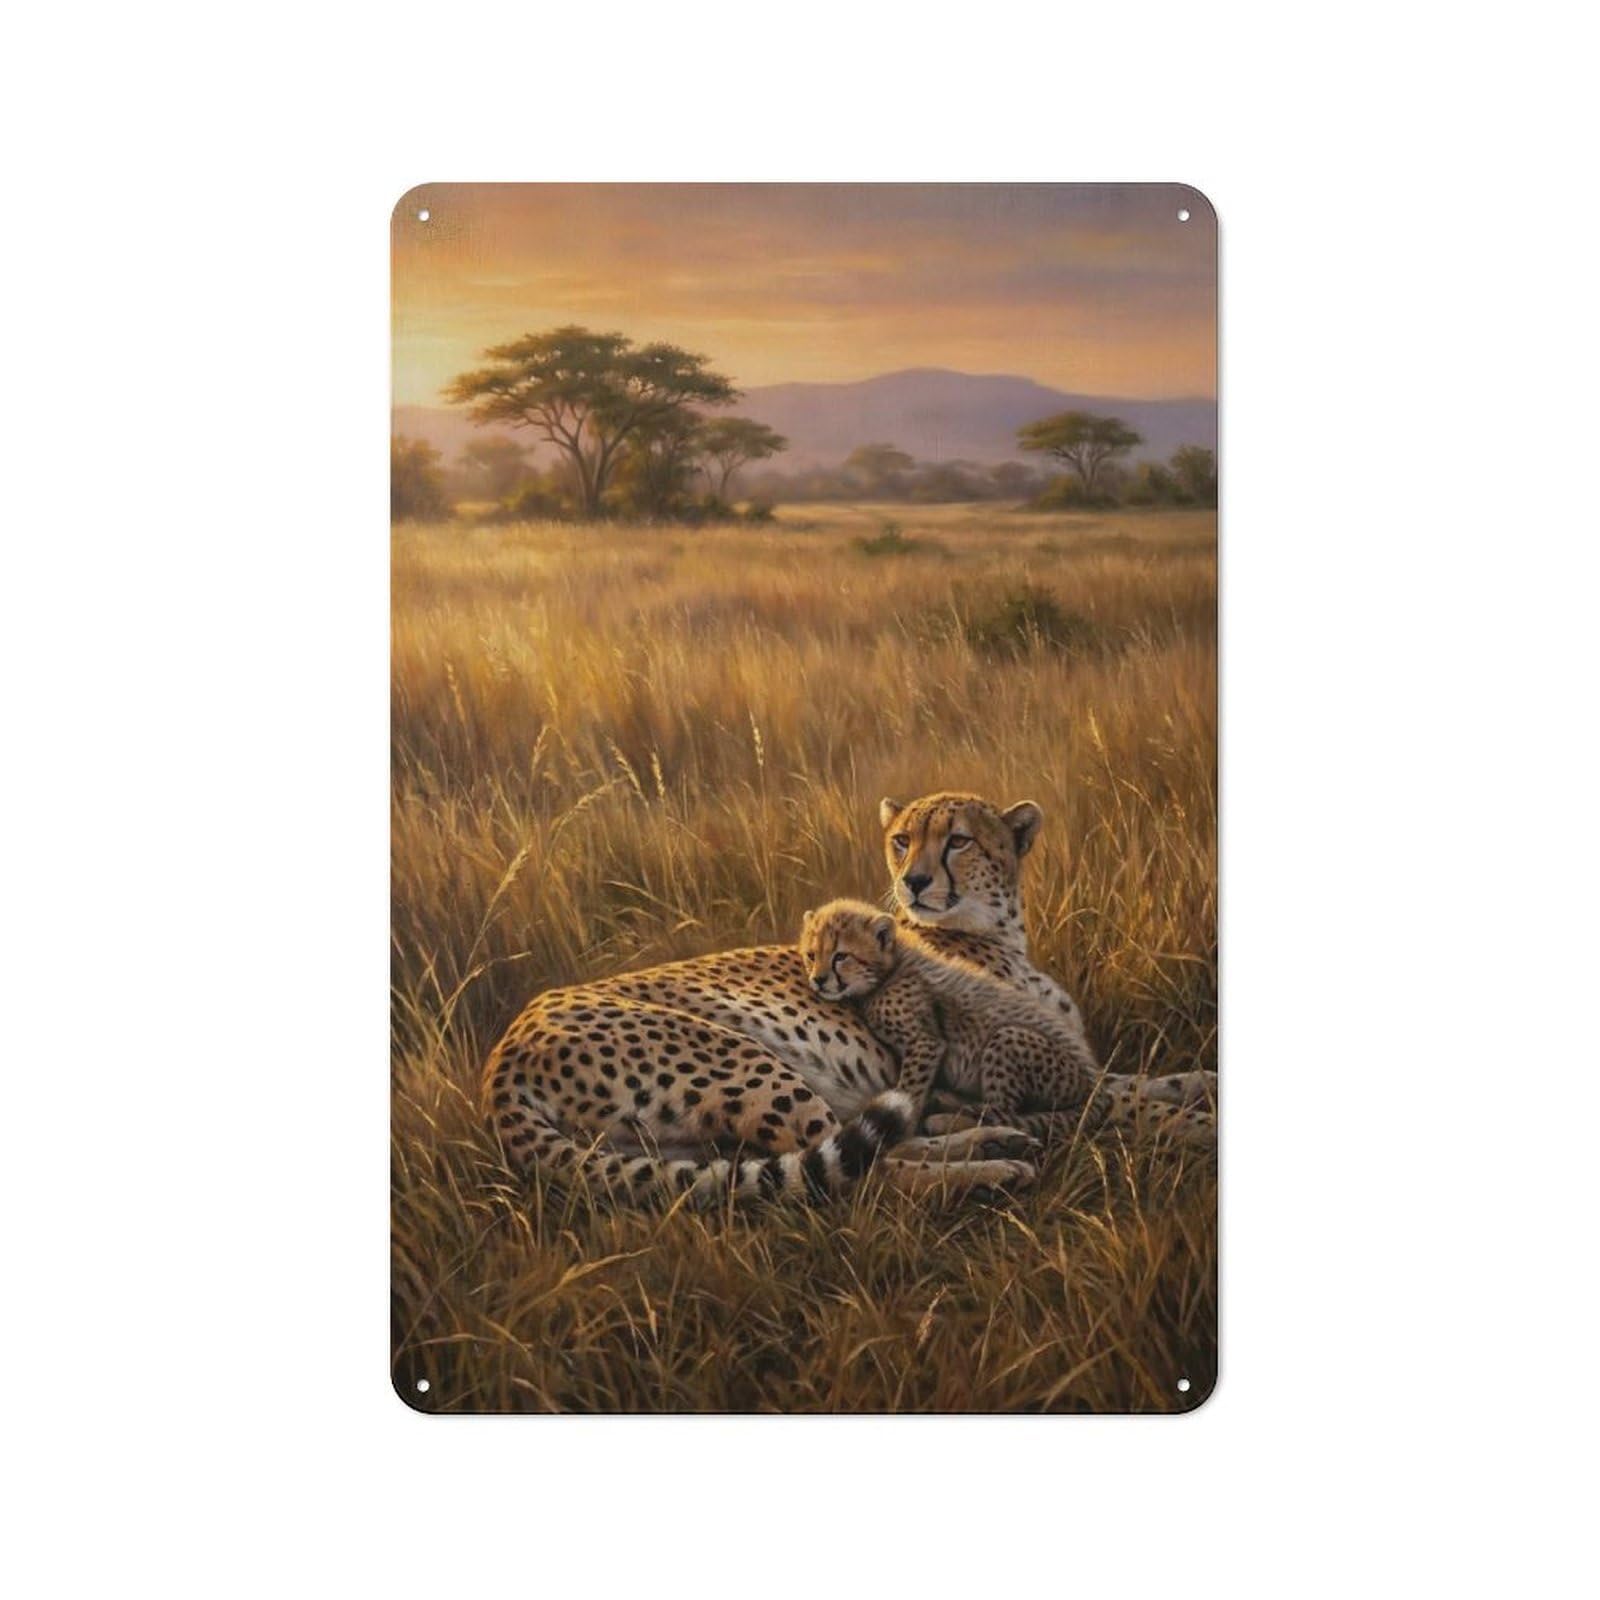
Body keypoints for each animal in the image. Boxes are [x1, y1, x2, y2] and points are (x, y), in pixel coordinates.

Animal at [799, 899, 1216, 1148]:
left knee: (1007, 1113)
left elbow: (911, 1089)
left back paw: (949, 1115)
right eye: (811, 955)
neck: (893, 965)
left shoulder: (926, 1042)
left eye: (840, 956)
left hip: (1008, 1039)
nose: (818, 980)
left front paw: (906, 1125)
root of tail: (1092, 1084)